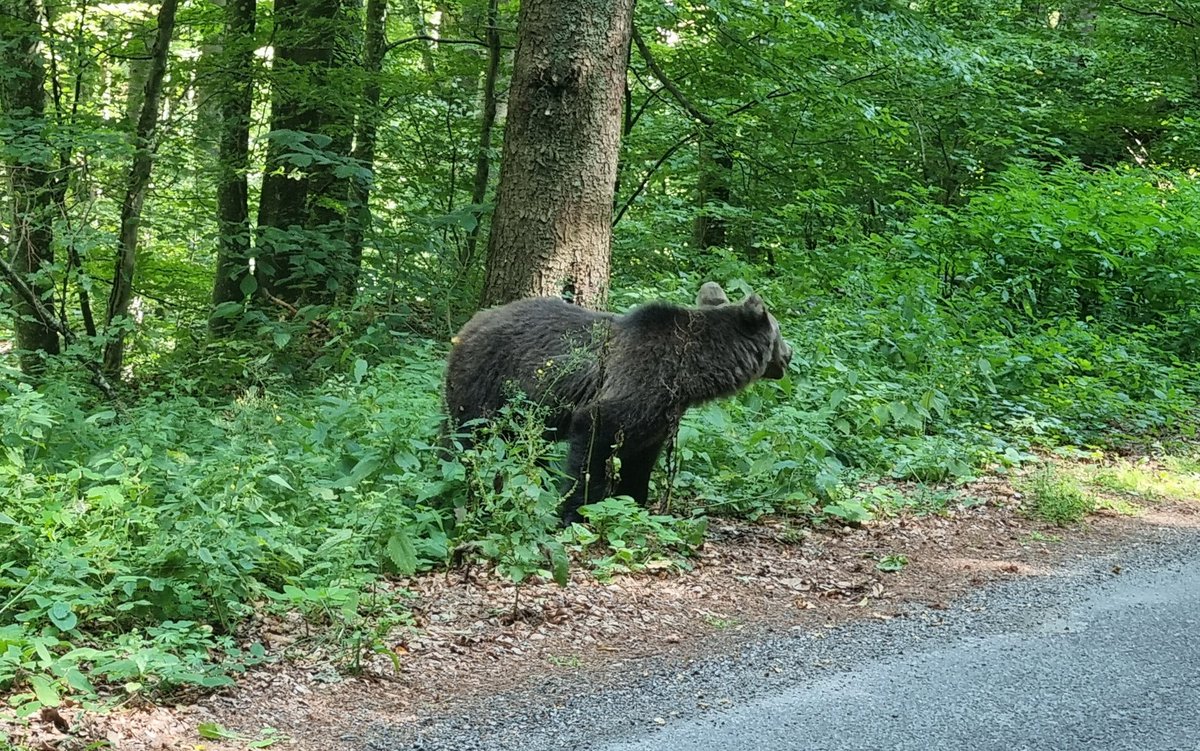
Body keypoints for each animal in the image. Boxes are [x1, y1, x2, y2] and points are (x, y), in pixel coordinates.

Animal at [441, 280, 787, 520]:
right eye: (779, 332)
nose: (789, 354)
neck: (689, 369)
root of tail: (468, 326)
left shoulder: (659, 416)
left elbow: (640, 461)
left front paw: (634, 503)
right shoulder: (634, 382)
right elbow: (593, 440)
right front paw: (576, 511)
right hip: (487, 381)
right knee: (466, 436)